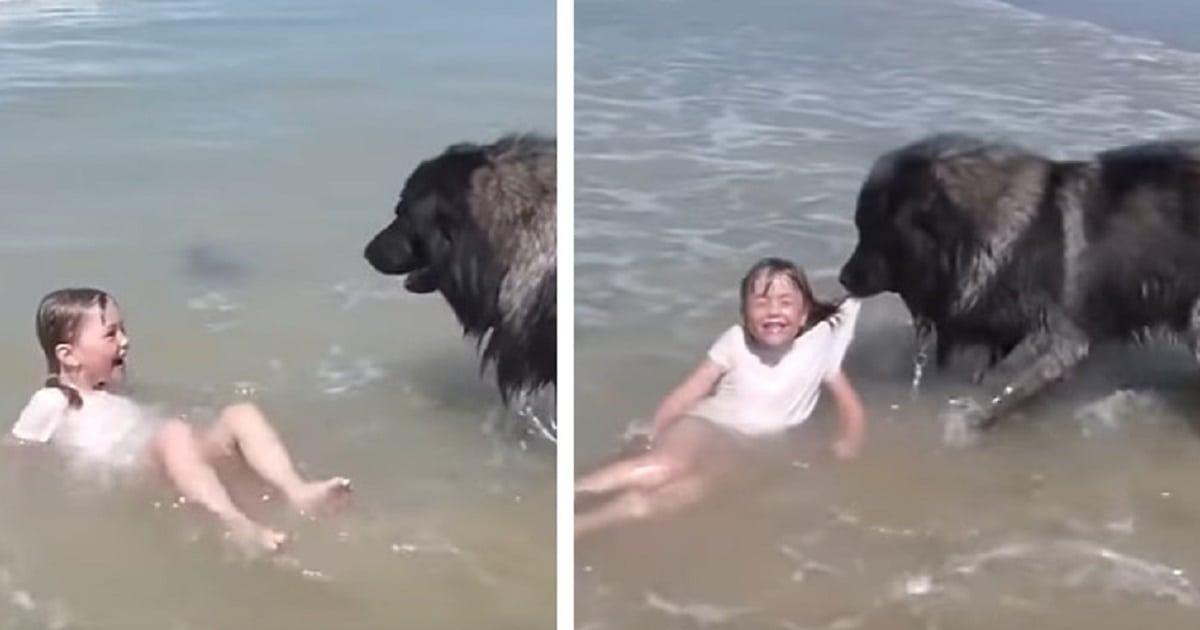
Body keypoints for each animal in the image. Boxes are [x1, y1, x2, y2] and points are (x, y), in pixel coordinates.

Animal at [840, 133, 1200, 441]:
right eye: (860, 227)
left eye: (873, 231)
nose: (843, 277)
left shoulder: (1058, 340)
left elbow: (1005, 391)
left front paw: (966, 426)